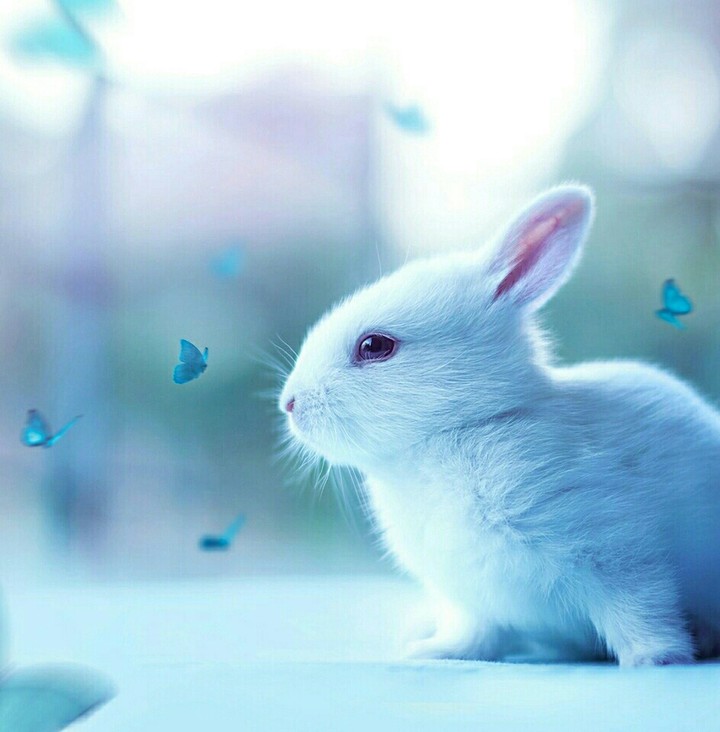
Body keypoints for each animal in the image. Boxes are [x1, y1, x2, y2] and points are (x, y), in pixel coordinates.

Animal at [278, 185, 720, 666]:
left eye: (375, 346)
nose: (289, 403)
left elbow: (642, 611)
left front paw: (656, 658)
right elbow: (475, 637)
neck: (459, 430)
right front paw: (431, 651)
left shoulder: (618, 552)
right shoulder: (474, 602)